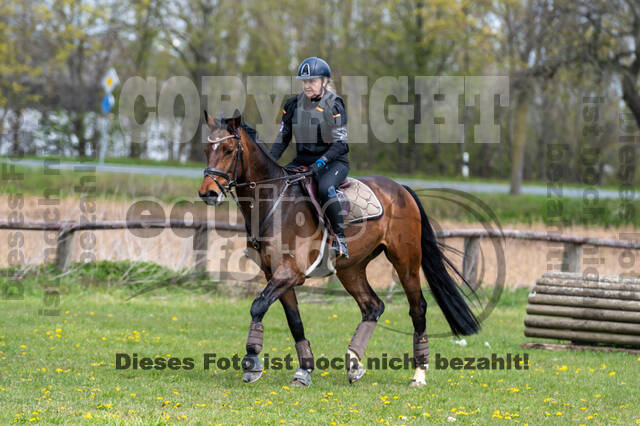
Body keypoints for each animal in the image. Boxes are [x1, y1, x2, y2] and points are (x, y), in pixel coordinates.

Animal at [198, 111, 478, 388]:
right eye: (206, 149)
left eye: (228, 149)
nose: (207, 193)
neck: (275, 201)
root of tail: (401, 189)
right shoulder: (274, 273)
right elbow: (294, 321)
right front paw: (304, 370)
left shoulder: (291, 271)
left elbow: (258, 306)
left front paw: (252, 362)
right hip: (351, 269)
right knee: (372, 306)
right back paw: (354, 364)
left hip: (405, 261)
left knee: (417, 307)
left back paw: (418, 374)